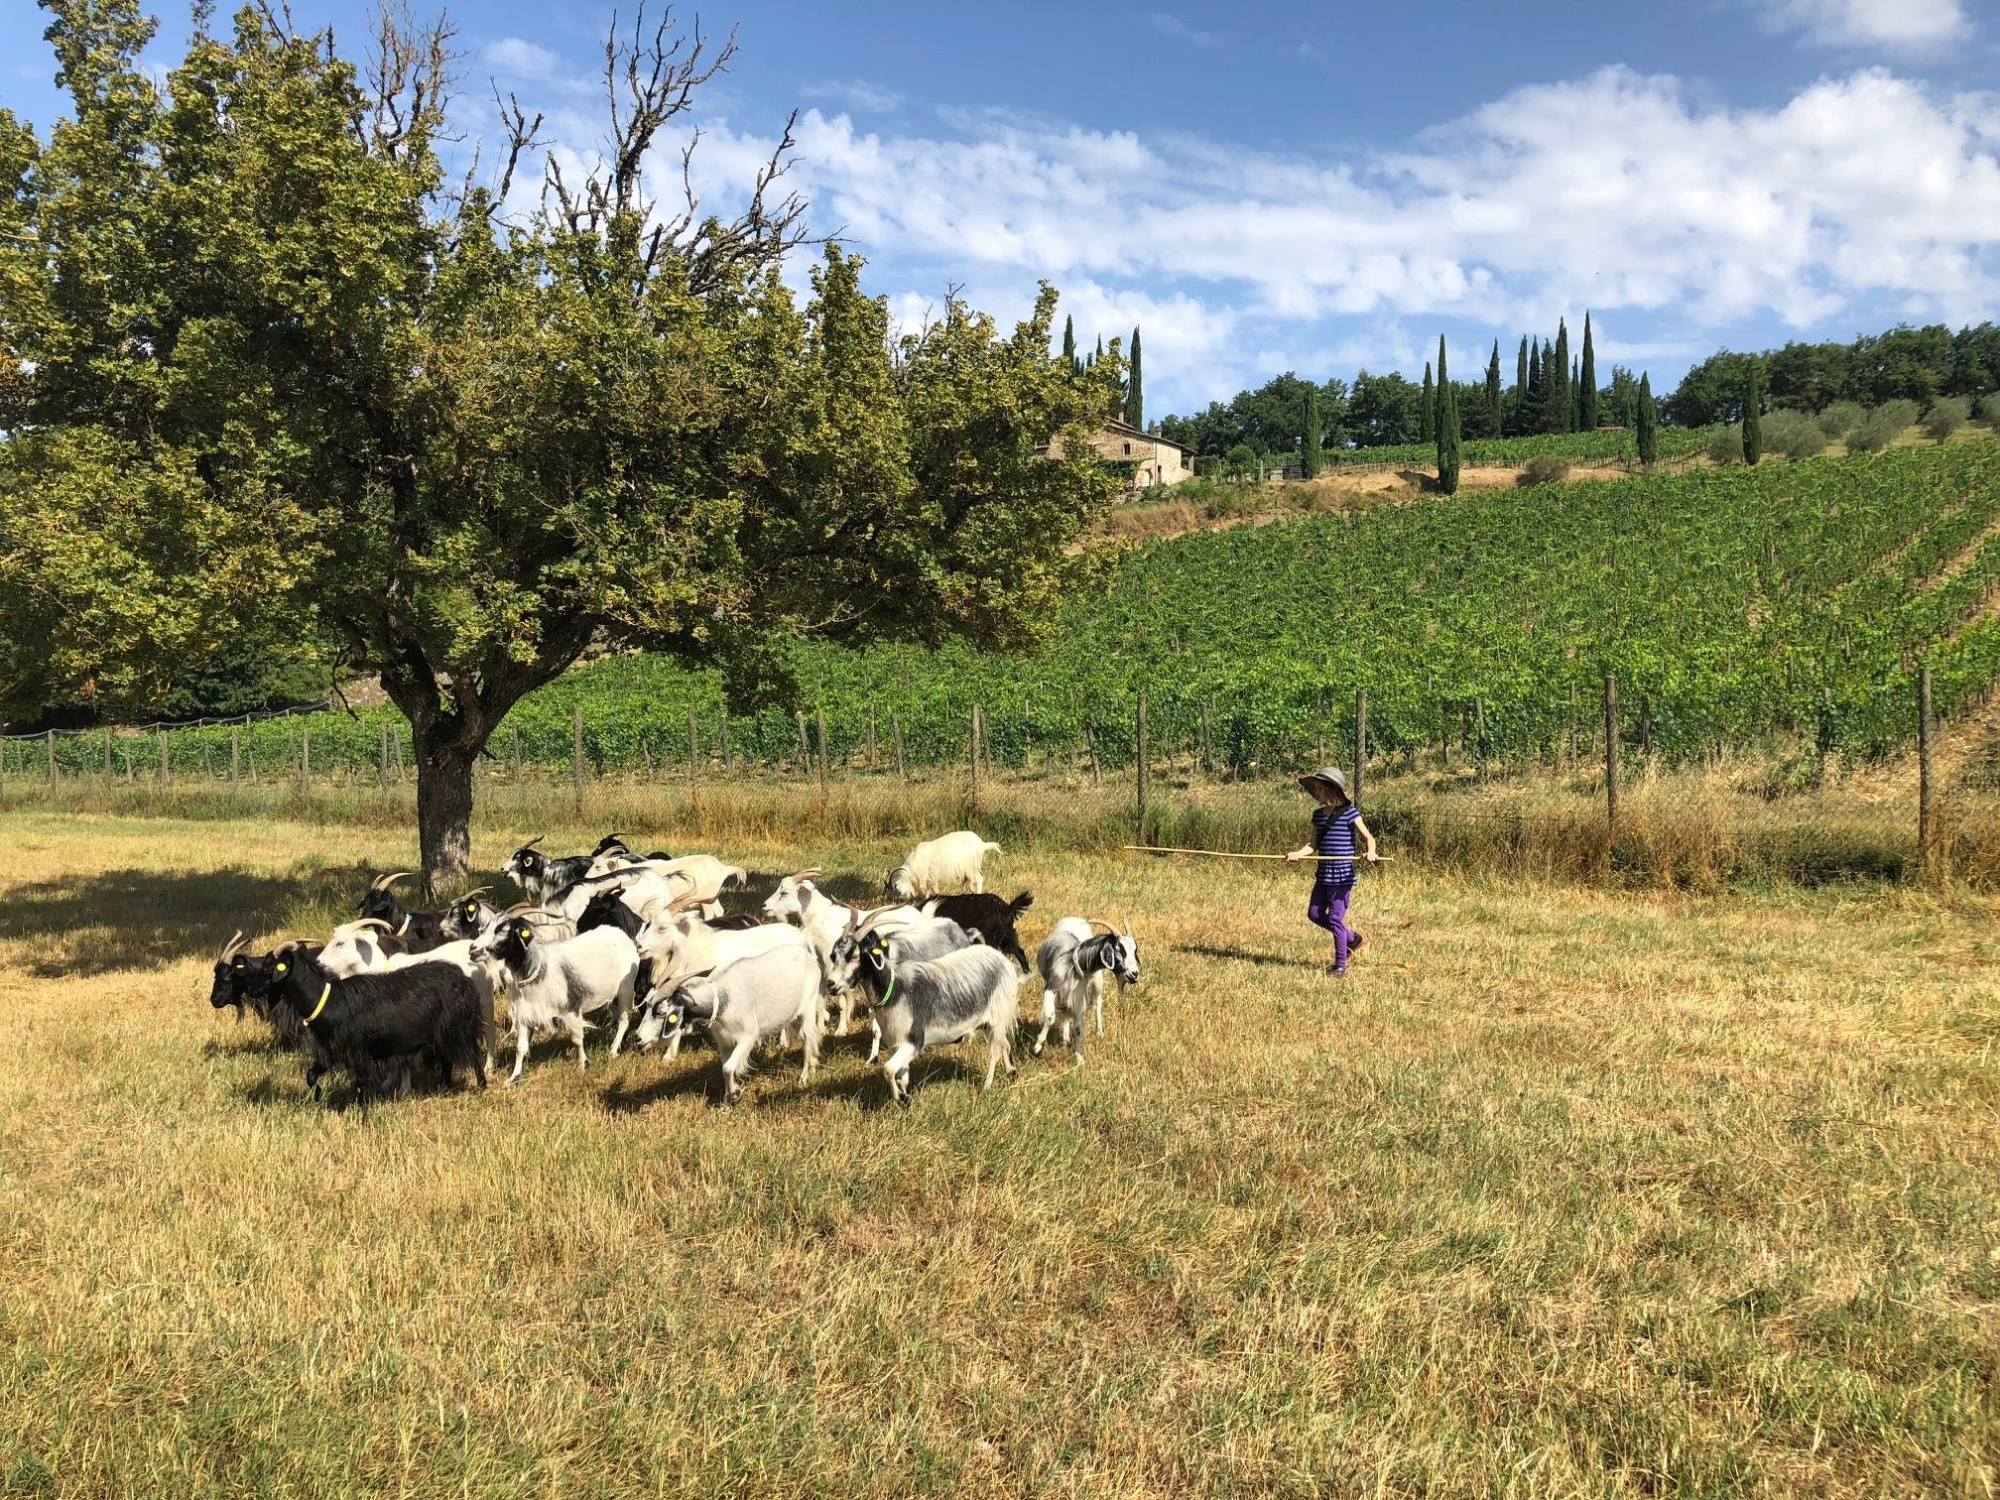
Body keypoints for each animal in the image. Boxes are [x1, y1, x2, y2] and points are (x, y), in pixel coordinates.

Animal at [266, 944, 488, 1112]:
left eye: (270, 968)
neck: (326, 1000)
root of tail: (464, 978)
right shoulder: (332, 1051)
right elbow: (311, 1075)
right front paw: (318, 1097)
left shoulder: (359, 1053)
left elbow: (360, 1086)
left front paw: (363, 1113)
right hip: (441, 1034)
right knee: (447, 1060)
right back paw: (443, 1089)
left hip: (458, 1028)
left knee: (474, 1057)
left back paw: (482, 1087)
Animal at [468, 912, 640, 1088]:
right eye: (485, 927)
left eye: (503, 930)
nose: (472, 949)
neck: (537, 971)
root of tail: (619, 932)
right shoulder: (524, 1016)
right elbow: (520, 1049)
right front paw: (513, 1078)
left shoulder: (571, 1008)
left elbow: (577, 1039)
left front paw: (583, 1065)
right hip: (610, 995)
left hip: (626, 989)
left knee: (625, 1020)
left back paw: (613, 1050)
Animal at [640, 944, 828, 1112]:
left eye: (660, 1012)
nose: (638, 1039)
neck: (724, 1000)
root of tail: (809, 957)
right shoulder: (724, 1042)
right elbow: (725, 1069)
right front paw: (727, 1100)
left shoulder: (747, 1037)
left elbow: (728, 1068)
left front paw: (735, 1095)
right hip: (794, 1017)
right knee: (808, 1038)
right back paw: (812, 1066)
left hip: (808, 1007)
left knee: (808, 1040)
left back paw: (803, 1079)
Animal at [852, 936, 1024, 1112]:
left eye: (857, 956)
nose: (839, 985)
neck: (895, 990)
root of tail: (1005, 962)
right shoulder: (898, 1044)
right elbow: (901, 1076)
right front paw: (906, 1100)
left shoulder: (914, 1041)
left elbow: (889, 1069)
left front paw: (902, 1098)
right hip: (992, 1023)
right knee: (1005, 1044)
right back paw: (1012, 1072)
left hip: (998, 1015)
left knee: (995, 1051)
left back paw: (987, 1086)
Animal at [1032, 924, 1144, 1064]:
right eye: (1119, 949)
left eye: (1135, 949)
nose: (1134, 974)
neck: (1074, 964)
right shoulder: (1052, 988)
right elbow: (1050, 1017)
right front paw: (1037, 1047)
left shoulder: (1078, 998)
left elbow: (1078, 1029)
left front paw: (1079, 1058)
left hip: (1097, 985)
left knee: (1097, 1005)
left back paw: (1098, 1033)